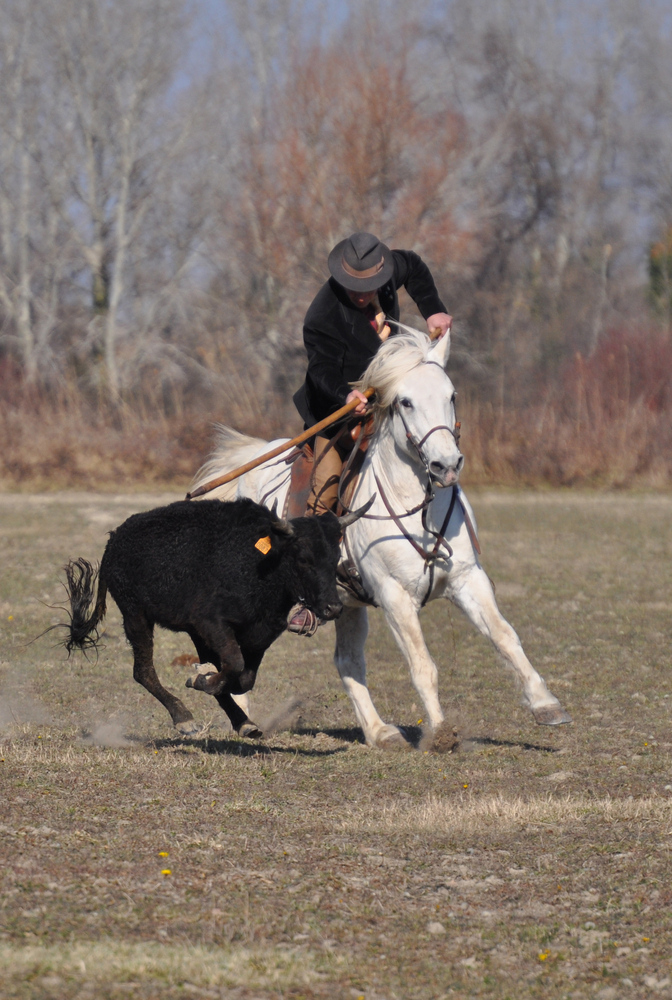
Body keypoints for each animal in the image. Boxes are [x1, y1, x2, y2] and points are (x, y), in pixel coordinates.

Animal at [190, 330, 572, 752]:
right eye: (405, 401)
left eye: (452, 395)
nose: (446, 465)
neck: (417, 508)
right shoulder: (395, 597)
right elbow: (422, 664)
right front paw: (441, 732)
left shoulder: (468, 579)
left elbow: (505, 637)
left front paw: (545, 704)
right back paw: (242, 717)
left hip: (346, 603)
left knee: (347, 662)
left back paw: (378, 731)